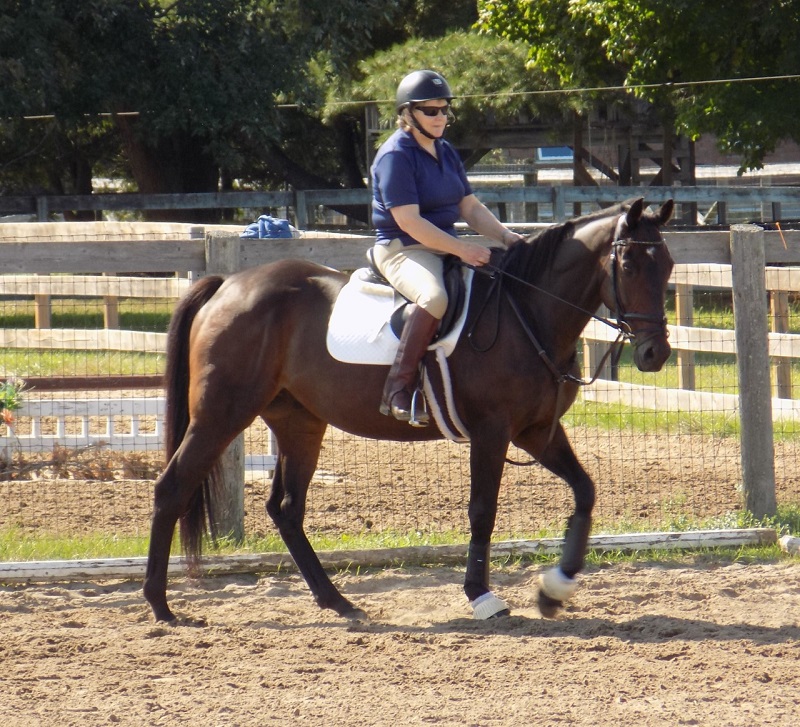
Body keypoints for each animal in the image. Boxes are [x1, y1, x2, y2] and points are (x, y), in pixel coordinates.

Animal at [143, 197, 675, 623]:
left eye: (667, 265)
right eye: (629, 264)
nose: (655, 354)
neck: (527, 311)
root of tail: (227, 285)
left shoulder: (538, 430)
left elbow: (585, 492)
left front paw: (554, 589)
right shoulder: (492, 431)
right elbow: (482, 511)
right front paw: (481, 596)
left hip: (299, 422)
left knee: (287, 509)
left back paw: (338, 602)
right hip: (221, 415)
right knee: (172, 488)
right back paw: (161, 605)